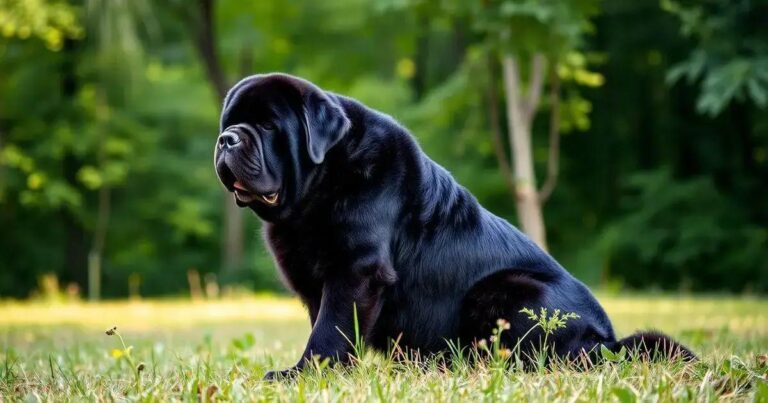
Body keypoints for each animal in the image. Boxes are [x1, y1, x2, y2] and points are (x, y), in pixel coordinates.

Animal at [212, 74, 696, 380]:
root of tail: (607, 340)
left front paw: (303, 374)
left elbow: (330, 330)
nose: (227, 139)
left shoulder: (356, 270)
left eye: (268, 125)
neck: (322, 183)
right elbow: (330, 324)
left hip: (509, 290)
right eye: (229, 123)